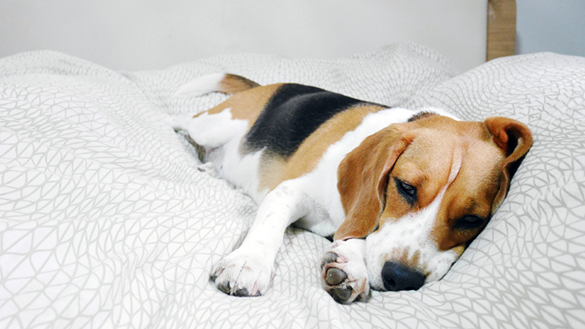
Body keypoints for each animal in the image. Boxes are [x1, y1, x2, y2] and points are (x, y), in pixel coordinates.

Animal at [168, 73, 528, 304]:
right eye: (406, 188)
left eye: (472, 220)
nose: (402, 280)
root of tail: (271, 86)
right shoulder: (290, 192)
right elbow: (269, 226)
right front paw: (248, 264)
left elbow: (356, 235)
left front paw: (350, 265)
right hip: (215, 125)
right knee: (182, 120)